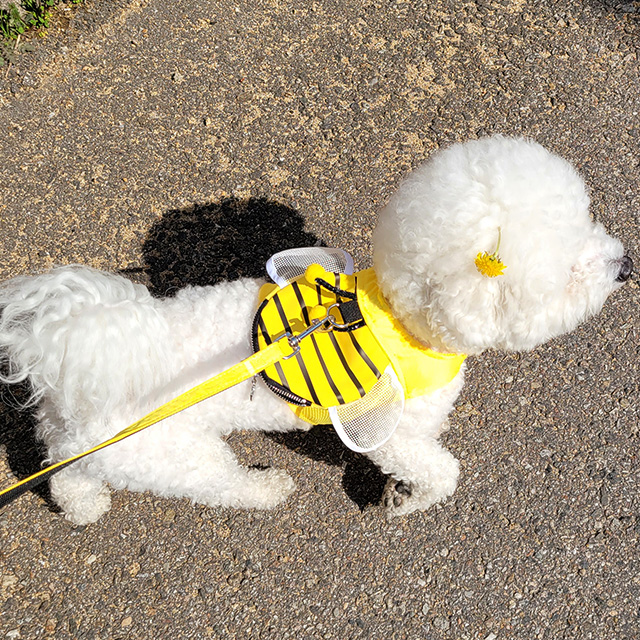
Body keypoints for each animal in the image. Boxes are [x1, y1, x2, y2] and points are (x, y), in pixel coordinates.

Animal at [0, 136, 632, 524]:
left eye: (589, 225)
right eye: (570, 272)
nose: (626, 266)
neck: (402, 319)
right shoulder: (393, 433)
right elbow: (440, 470)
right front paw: (405, 501)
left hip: (87, 445)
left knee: (66, 473)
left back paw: (82, 507)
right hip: (179, 456)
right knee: (221, 484)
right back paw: (267, 489)